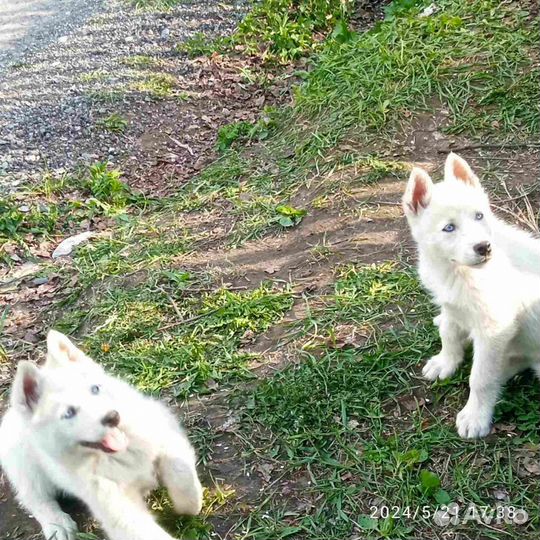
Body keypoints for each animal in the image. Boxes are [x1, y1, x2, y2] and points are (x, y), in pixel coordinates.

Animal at [0, 330, 202, 540]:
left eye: (95, 389)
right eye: (69, 413)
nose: (113, 417)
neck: (119, 454)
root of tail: (12, 412)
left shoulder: (161, 428)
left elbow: (181, 470)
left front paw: (189, 504)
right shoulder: (113, 504)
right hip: (24, 465)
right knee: (36, 499)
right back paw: (57, 525)